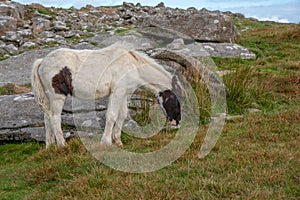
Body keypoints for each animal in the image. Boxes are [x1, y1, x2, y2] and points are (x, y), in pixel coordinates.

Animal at [31, 44, 180, 148]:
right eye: (176, 100)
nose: (177, 123)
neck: (131, 64)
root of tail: (42, 61)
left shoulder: (124, 93)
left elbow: (122, 115)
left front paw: (118, 141)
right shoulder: (117, 92)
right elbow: (111, 115)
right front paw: (106, 142)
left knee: (47, 118)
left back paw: (50, 146)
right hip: (57, 96)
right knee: (55, 118)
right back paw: (62, 145)